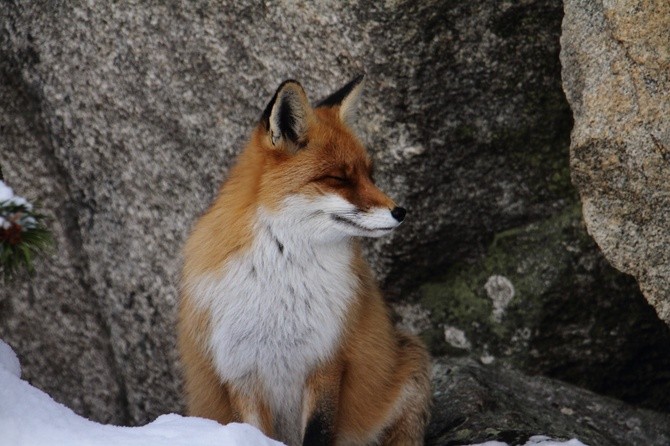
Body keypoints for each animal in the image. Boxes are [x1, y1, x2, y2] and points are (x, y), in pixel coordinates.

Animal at [178, 76, 430, 446]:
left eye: (370, 175)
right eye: (339, 179)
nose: (401, 212)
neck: (282, 275)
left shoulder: (325, 359)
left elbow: (318, 431)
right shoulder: (240, 371)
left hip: (411, 365)